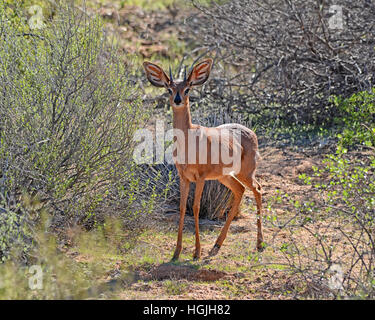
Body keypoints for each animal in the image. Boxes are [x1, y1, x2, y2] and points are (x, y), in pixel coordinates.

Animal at [144, 59, 264, 260]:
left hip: (246, 172)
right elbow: (183, 208)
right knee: (240, 190)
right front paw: (177, 252)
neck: (188, 140)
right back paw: (216, 245)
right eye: (169, 89)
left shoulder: (200, 177)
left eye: (188, 88)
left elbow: (196, 207)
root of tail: (251, 133)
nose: (177, 100)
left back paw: (260, 244)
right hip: (225, 176)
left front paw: (197, 252)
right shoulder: (184, 177)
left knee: (258, 189)